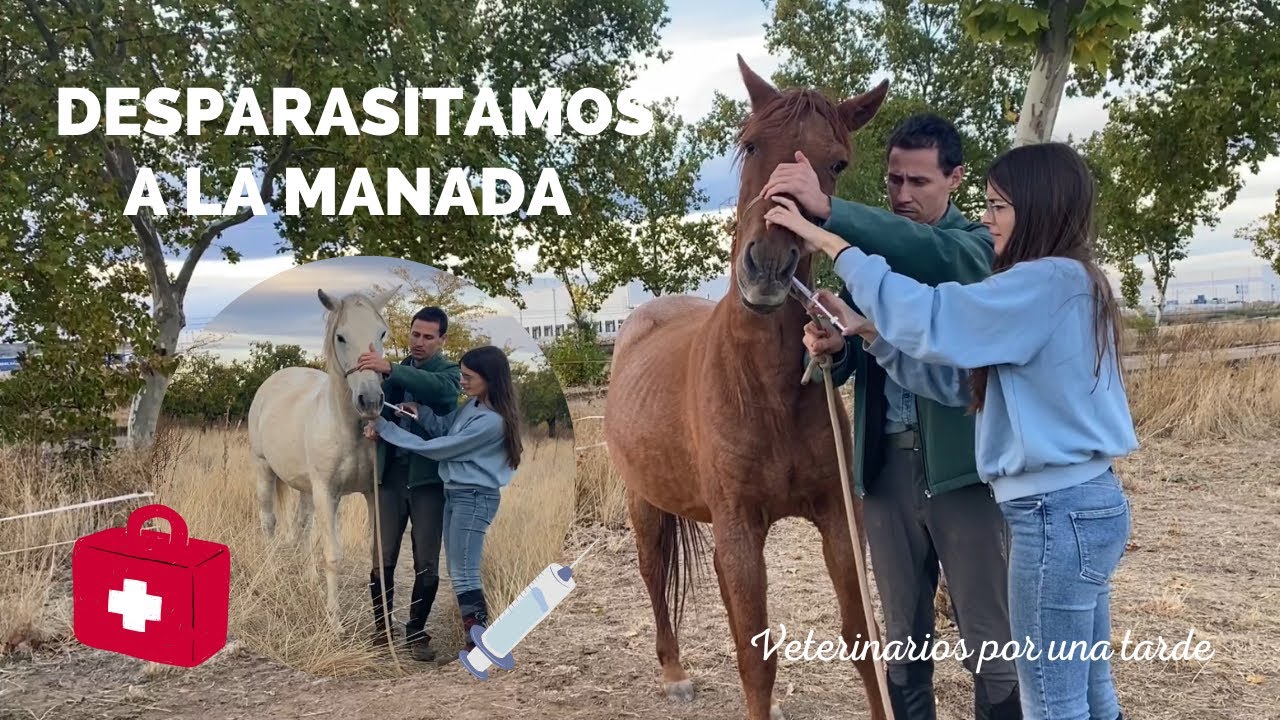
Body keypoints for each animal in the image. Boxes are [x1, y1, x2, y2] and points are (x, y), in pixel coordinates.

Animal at [247, 285, 399, 631]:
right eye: (341, 337)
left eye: (381, 332)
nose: (371, 400)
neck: (347, 429)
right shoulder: (326, 492)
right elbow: (333, 555)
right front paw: (335, 621)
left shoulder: (371, 493)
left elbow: (376, 555)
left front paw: (384, 620)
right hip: (264, 469)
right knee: (269, 522)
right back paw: (271, 574)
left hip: (305, 488)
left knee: (302, 526)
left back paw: (309, 580)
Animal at [602, 56, 892, 720]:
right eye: (753, 144)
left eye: (837, 162)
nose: (768, 268)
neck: (764, 388)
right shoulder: (738, 526)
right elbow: (755, 662)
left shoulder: (837, 519)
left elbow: (861, 640)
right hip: (645, 505)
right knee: (653, 574)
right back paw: (674, 672)